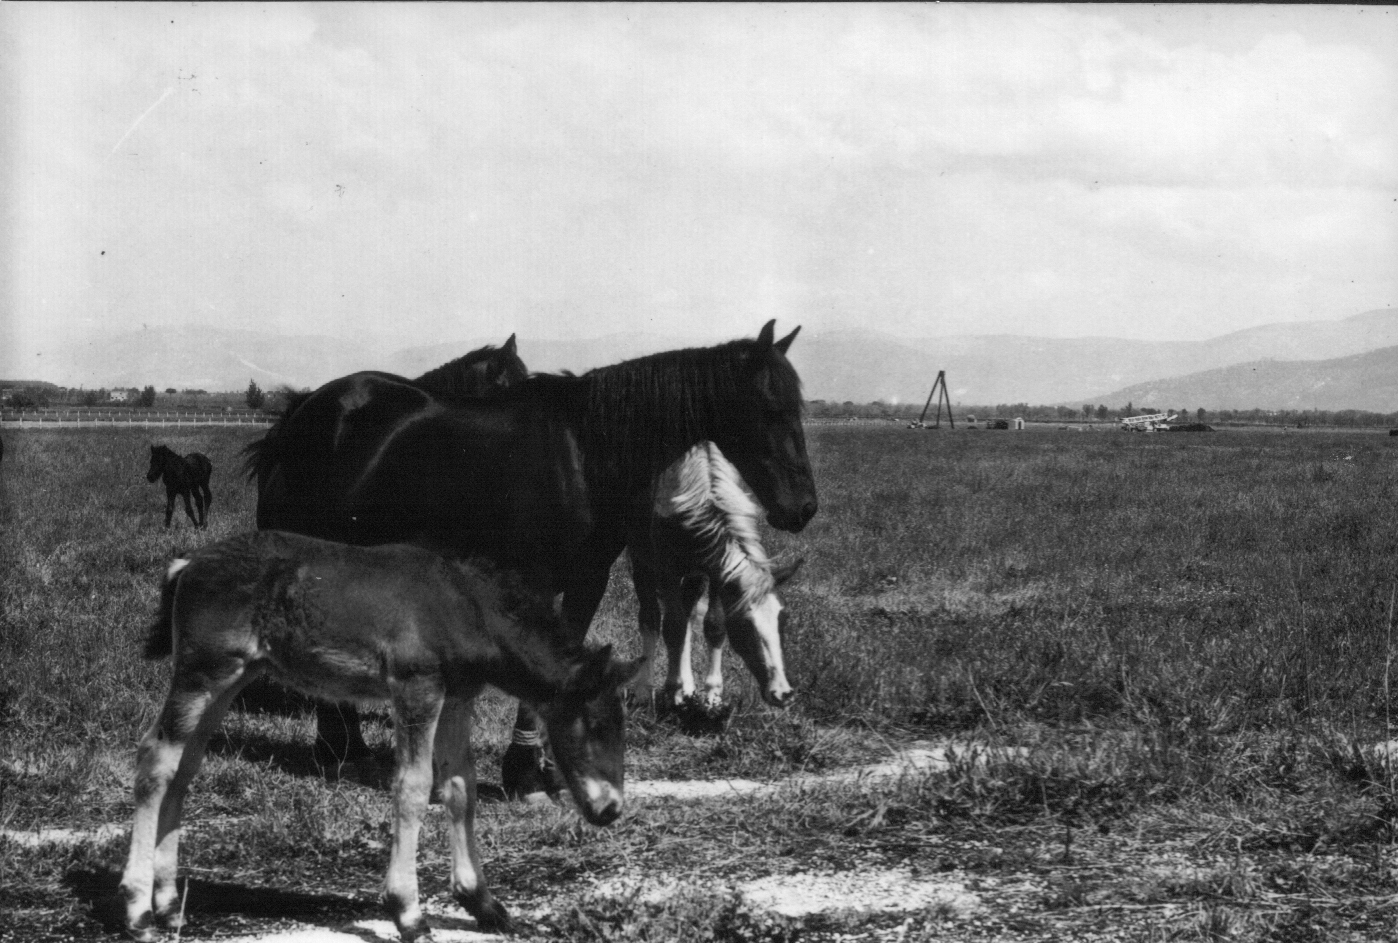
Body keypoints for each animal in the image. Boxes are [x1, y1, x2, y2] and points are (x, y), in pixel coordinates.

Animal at [114, 533, 640, 938]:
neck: (464, 607)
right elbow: (413, 788)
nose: (611, 809)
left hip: (231, 679)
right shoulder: (416, 687)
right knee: (155, 757)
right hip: (201, 673)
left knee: (185, 767)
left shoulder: (457, 697)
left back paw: (168, 904)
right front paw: (408, 911)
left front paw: (482, 903)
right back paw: (138, 908)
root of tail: (187, 564)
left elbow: (460, 788)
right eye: (597, 724)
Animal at [243, 324, 816, 799]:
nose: (803, 507)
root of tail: (301, 412)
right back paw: (340, 751)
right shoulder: (536, 582)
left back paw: (344, 746)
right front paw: (524, 770)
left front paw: (536, 769)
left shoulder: (587, 579)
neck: (586, 455)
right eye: (770, 408)